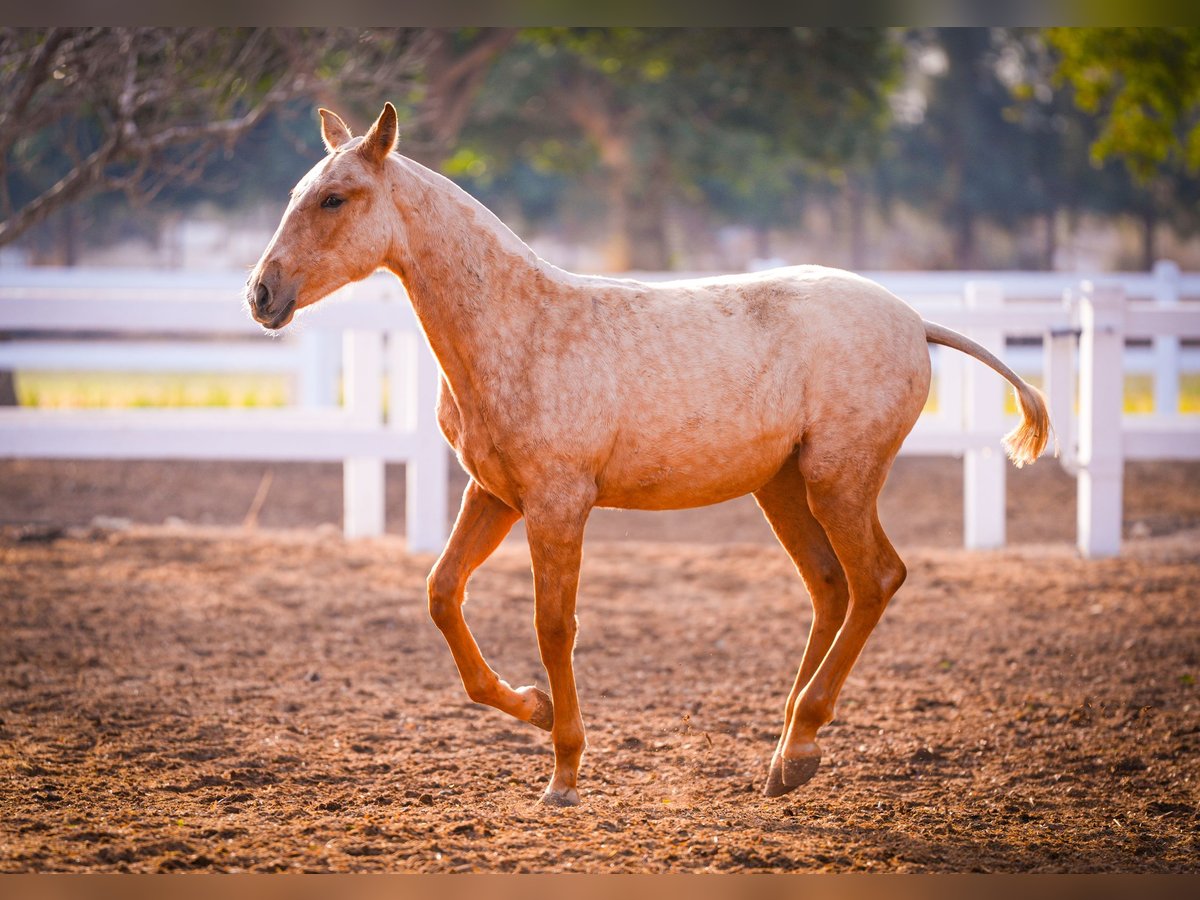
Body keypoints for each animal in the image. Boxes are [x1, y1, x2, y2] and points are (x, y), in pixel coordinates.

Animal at [246, 102, 1051, 806]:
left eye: (335, 199)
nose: (261, 294)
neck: (519, 327)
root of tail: (916, 321)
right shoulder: (496, 495)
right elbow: (443, 594)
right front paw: (534, 706)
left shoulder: (558, 505)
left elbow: (554, 626)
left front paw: (565, 773)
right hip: (783, 488)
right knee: (830, 588)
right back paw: (783, 757)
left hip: (838, 481)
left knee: (877, 579)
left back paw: (799, 747)